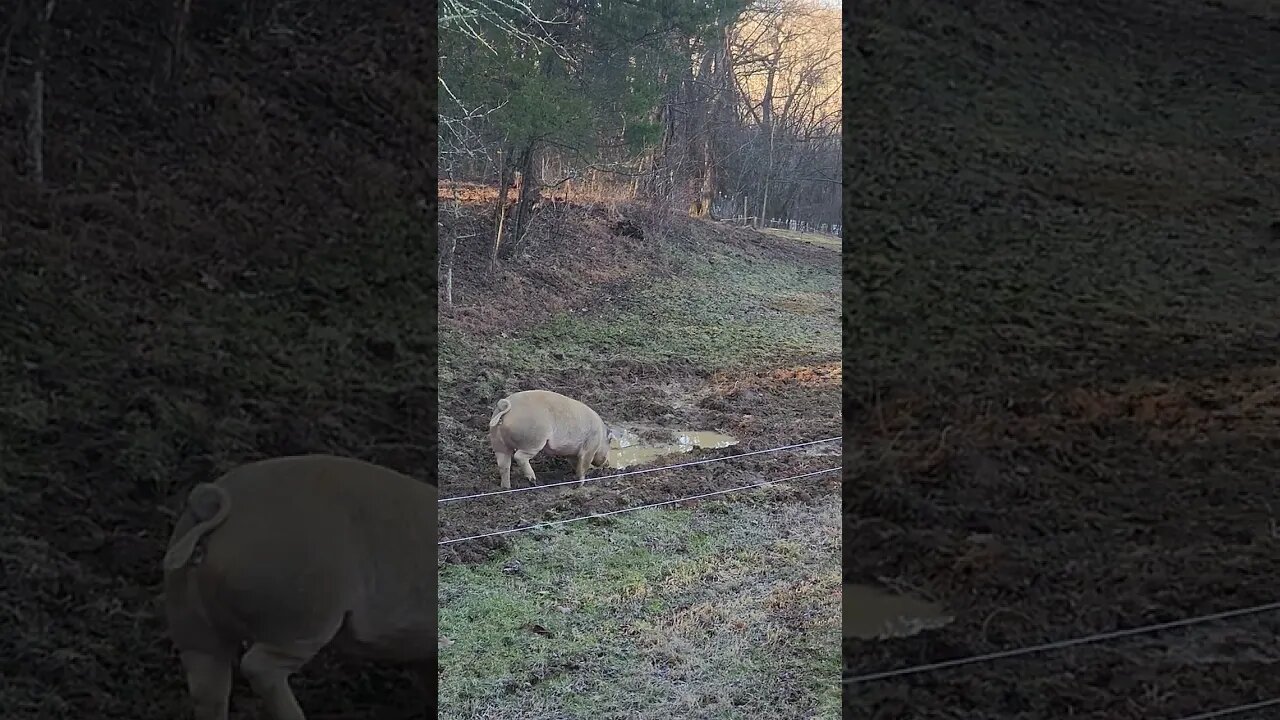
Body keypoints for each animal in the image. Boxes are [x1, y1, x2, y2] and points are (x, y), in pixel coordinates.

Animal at [486, 386, 616, 486]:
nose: (607, 464)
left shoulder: (572, 453)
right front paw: (581, 484)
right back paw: (533, 480)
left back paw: (506, 487)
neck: (600, 435)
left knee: (503, 465)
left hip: (498, 443)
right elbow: (583, 465)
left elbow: (575, 463)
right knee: (519, 457)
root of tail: (506, 408)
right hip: (533, 440)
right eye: (609, 443)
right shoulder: (589, 448)